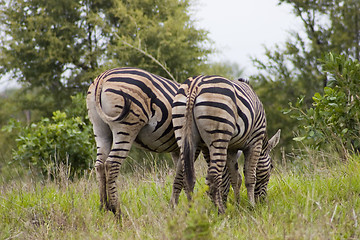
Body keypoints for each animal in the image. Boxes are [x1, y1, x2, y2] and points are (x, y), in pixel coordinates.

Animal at [86, 68, 240, 218]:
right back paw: (117, 211)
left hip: (100, 129)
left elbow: (182, 177)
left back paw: (103, 207)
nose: (231, 205)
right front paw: (183, 208)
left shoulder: (178, 150)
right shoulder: (197, 147)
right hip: (126, 126)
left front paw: (182, 207)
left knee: (100, 165)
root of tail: (102, 78)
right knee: (111, 164)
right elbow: (187, 176)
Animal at [172, 75, 282, 214]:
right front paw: (251, 207)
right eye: (272, 166)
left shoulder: (231, 149)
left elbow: (235, 178)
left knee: (182, 177)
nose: (262, 201)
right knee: (213, 177)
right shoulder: (255, 142)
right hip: (218, 134)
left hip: (184, 135)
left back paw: (183, 212)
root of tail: (194, 85)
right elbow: (250, 177)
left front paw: (237, 205)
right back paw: (220, 212)